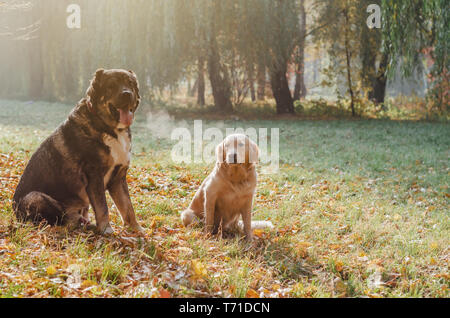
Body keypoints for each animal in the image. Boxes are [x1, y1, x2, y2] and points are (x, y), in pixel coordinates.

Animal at [13, 69, 142, 234]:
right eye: (111, 85)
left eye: (130, 83)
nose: (126, 93)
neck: (108, 128)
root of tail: (16, 215)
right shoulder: (94, 176)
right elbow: (103, 207)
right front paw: (106, 229)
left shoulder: (118, 178)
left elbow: (127, 207)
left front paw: (136, 229)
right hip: (36, 197)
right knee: (59, 219)